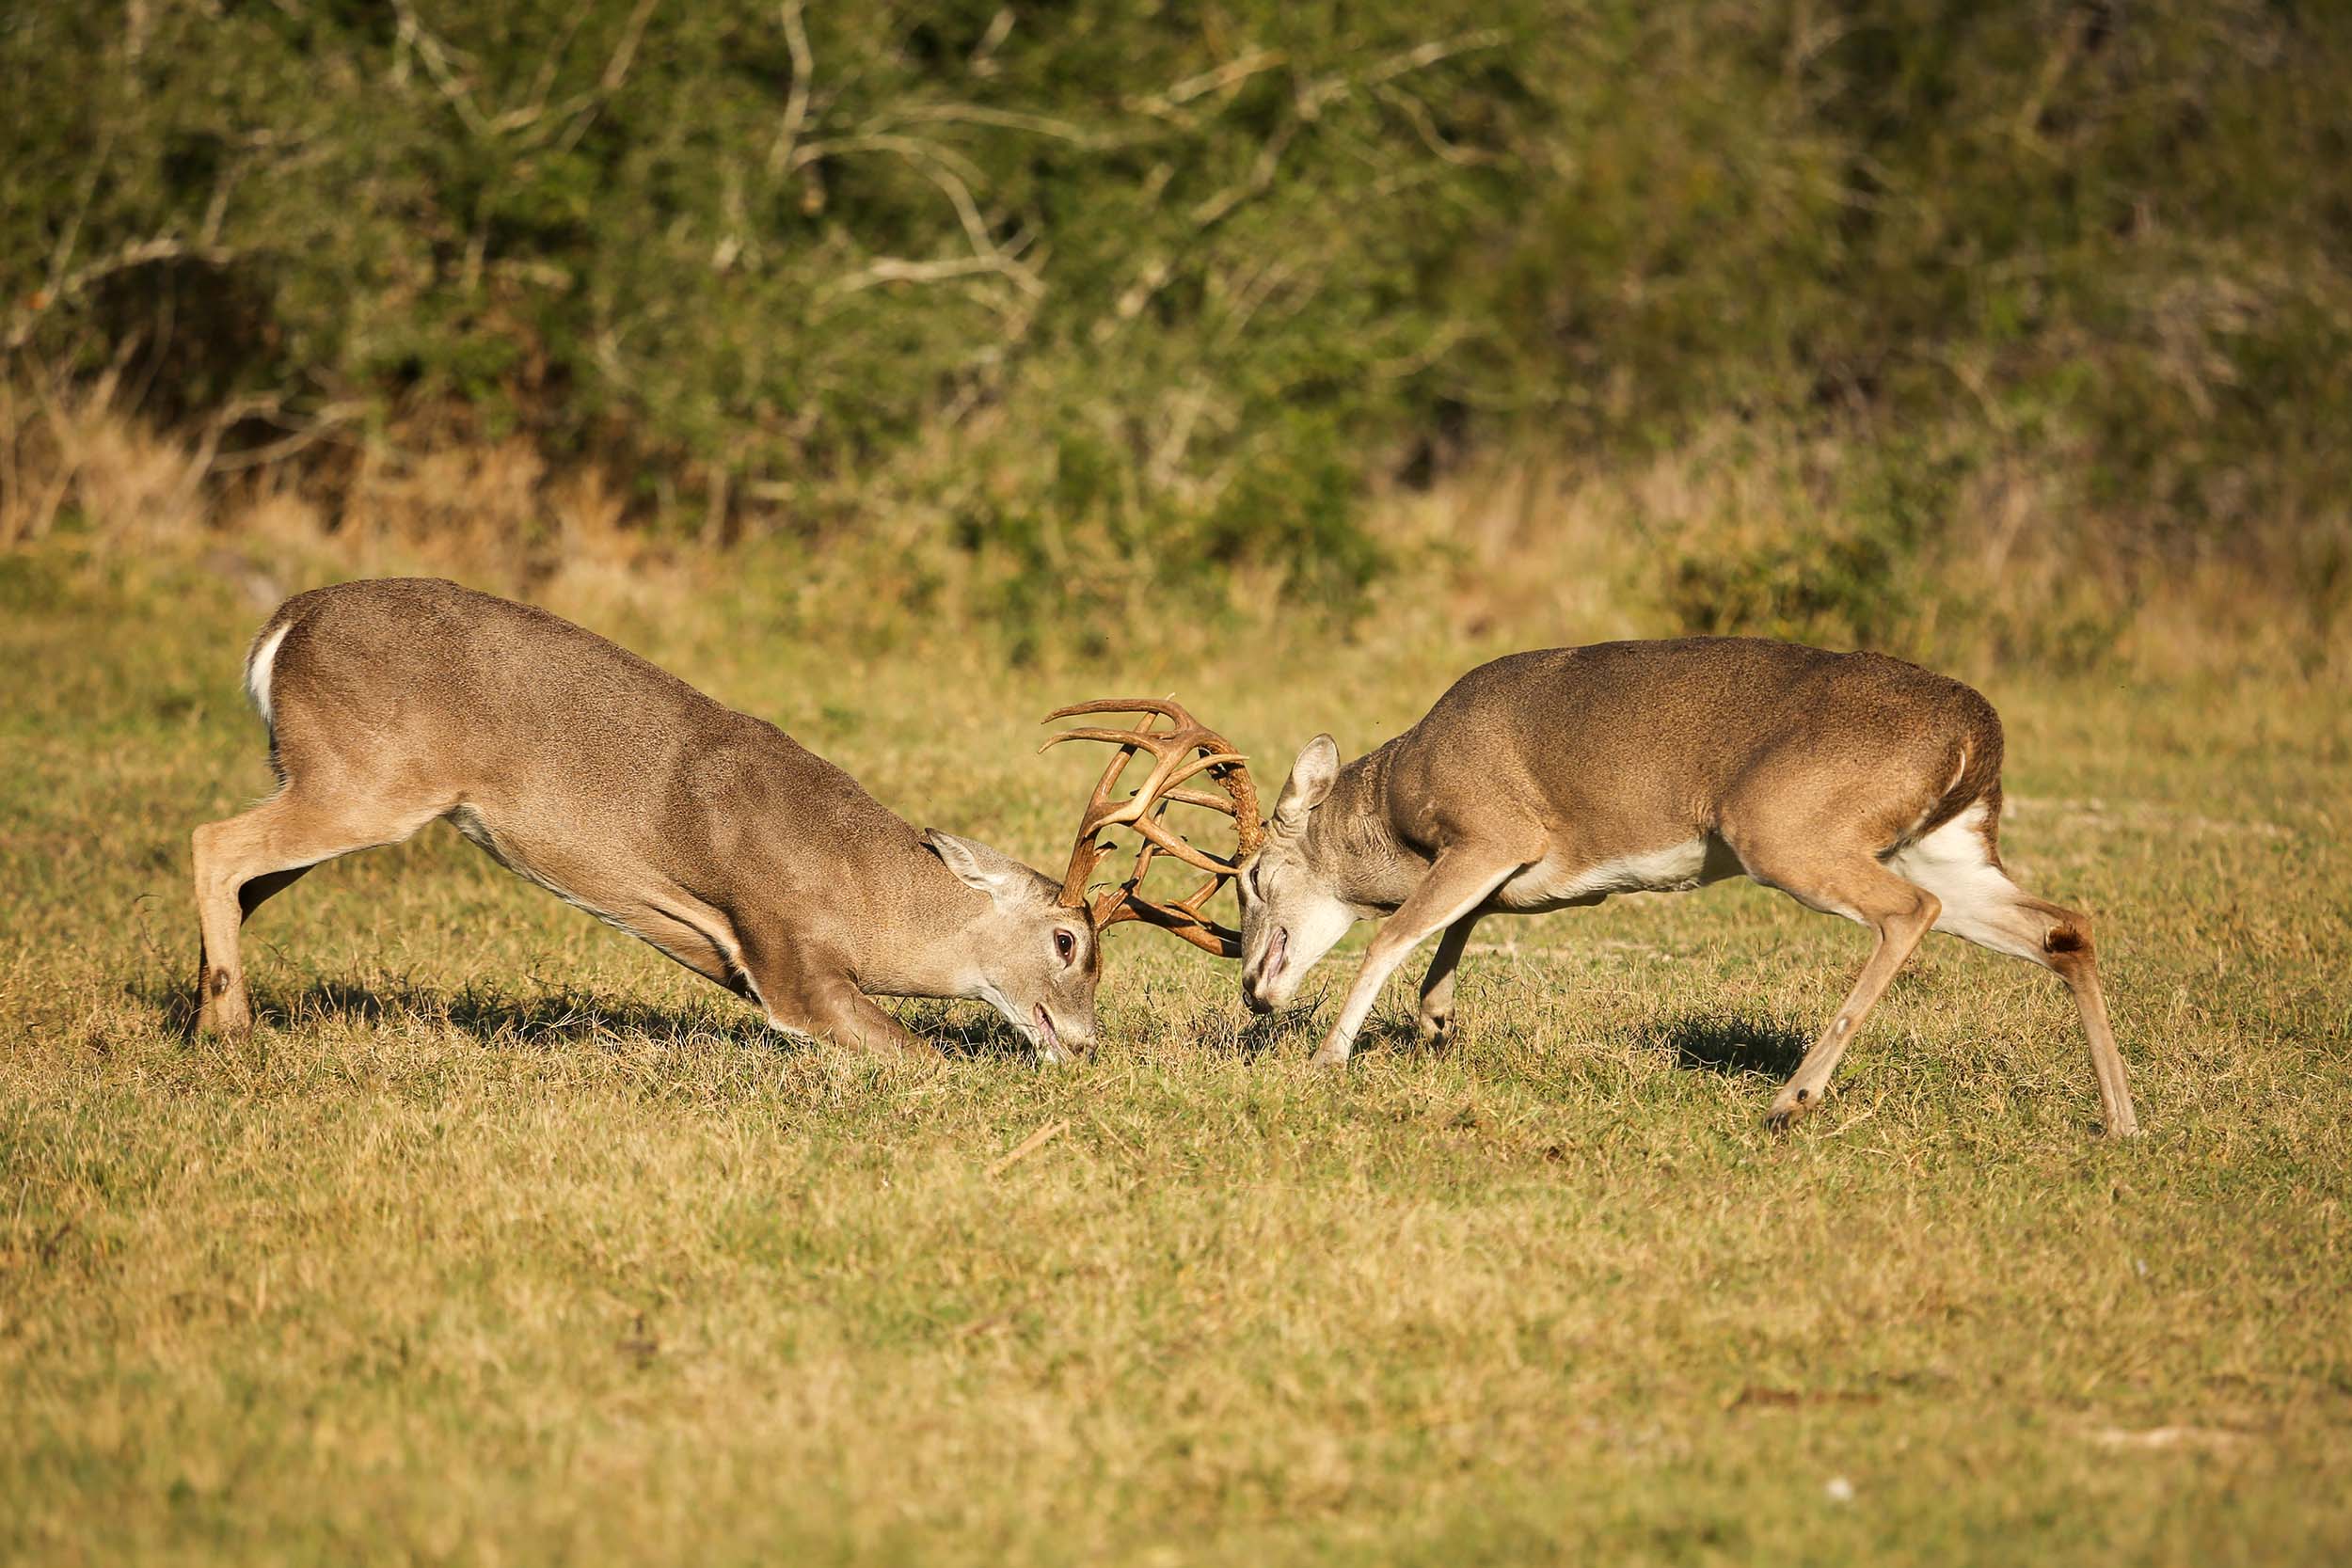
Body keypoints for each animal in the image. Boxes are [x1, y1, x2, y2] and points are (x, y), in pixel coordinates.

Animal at [193, 582, 1261, 1062]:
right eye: (1068, 941)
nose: (1084, 1044)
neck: (868, 896)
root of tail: (283, 623)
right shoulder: (787, 952)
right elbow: (914, 1051)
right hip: (365, 777)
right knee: (212, 843)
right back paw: (226, 1029)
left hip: (320, 775)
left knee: (242, 877)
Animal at [1242, 639, 2145, 1142]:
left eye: (1251, 876)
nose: (1251, 985)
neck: (1400, 804)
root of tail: (1976, 732)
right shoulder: (1514, 866)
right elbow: (1460, 923)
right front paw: (1436, 1022)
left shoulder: (1497, 828)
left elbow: (1394, 931)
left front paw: (1328, 1058)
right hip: (1944, 849)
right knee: (2065, 926)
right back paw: (2123, 1122)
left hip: (1786, 828)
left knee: (1907, 913)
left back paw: (1792, 1098)